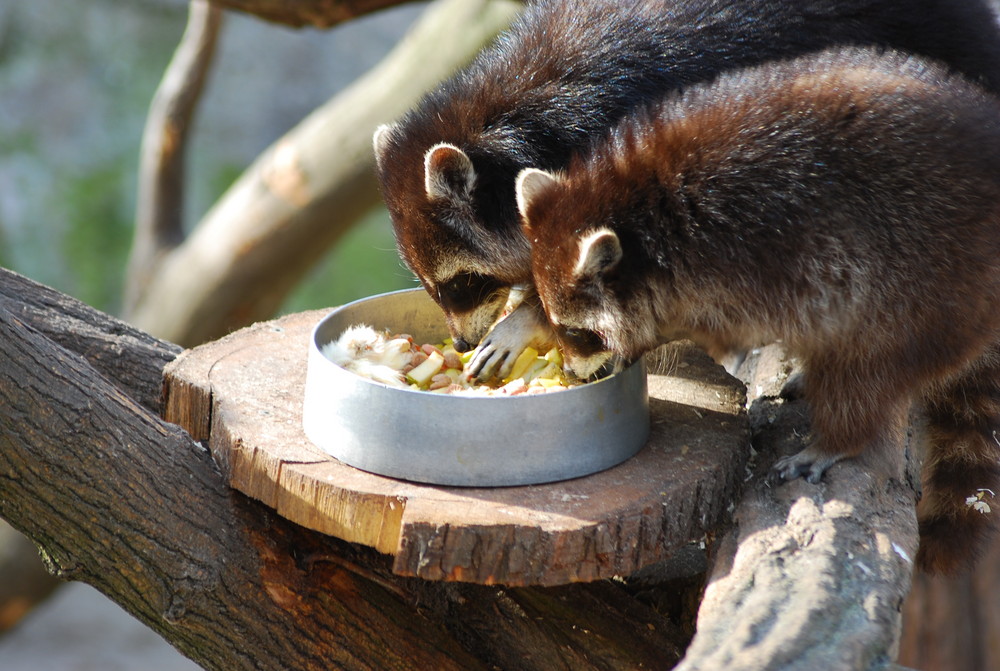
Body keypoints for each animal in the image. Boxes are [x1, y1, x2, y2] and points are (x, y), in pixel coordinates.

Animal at [370, 0, 1000, 378]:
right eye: (432, 286)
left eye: (462, 283)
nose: (457, 346)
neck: (511, 120)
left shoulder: (625, 155)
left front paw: (528, 319)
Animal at [512, 47, 1000, 572]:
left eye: (576, 333)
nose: (574, 376)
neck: (640, 213)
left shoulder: (757, 255)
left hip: (929, 273)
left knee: (868, 359)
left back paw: (840, 435)